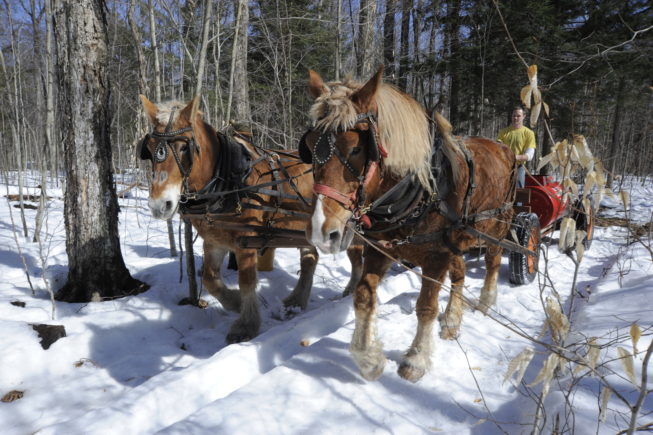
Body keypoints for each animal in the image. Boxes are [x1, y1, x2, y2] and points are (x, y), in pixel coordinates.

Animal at [138, 95, 363, 343]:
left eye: (184, 147)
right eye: (149, 148)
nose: (159, 205)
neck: (228, 180)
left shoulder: (245, 241)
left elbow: (246, 281)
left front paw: (246, 325)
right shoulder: (213, 240)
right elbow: (210, 278)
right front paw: (235, 303)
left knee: (356, 256)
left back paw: (351, 290)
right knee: (310, 259)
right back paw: (295, 302)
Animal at [300, 67, 516, 382]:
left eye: (356, 149)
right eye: (309, 146)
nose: (321, 232)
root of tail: (502, 147)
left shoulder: (436, 256)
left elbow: (426, 307)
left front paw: (416, 360)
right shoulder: (381, 249)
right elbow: (363, 297)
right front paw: (369, 359)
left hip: (497, 226)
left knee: (493, 263)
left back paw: (486, 301)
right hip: (457, 238)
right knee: (460, 275)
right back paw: (452, 321)